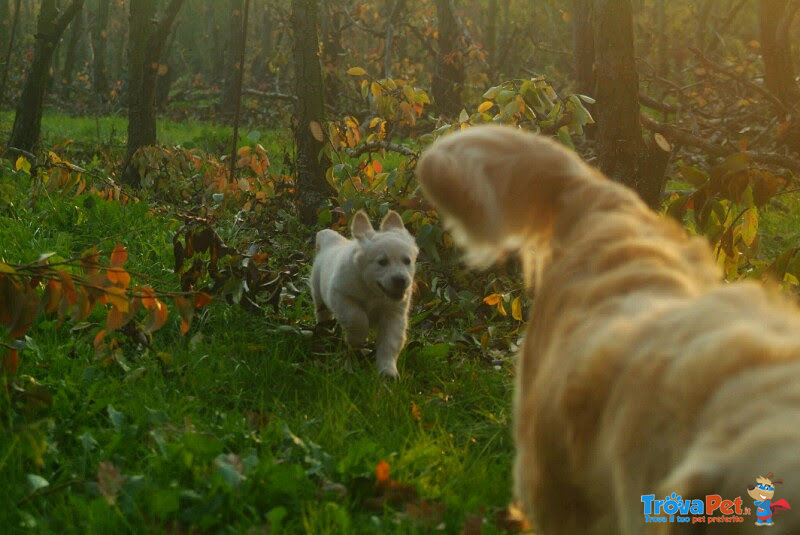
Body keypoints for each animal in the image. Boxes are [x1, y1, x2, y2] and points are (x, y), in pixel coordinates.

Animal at [310, 209, 418, 376]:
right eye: (382, 262)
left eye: (407, 261)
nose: (401, 280)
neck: (373, 291)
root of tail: (332, 242)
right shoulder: (341, 295)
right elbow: (357, 318)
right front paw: (357, 340)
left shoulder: (394, 313)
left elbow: (390, 342)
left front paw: (387, 371)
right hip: (317, 289)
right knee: (321, 310)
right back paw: (324, 327)